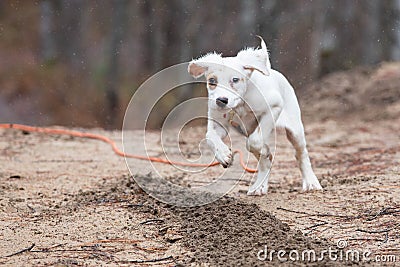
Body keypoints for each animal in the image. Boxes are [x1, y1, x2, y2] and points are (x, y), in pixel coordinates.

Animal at [188, 36, 322, 196]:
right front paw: (223, 155)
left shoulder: (273, 108)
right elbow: (210, 137)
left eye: (235, 80)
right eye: (212, 81)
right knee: (265, 161)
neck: (240, 104)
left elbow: (254, 142)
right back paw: (259, 186)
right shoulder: (218, 123)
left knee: (301, 154)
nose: (221, 100)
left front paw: (261, 149)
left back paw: (311, 182)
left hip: (295, 130)